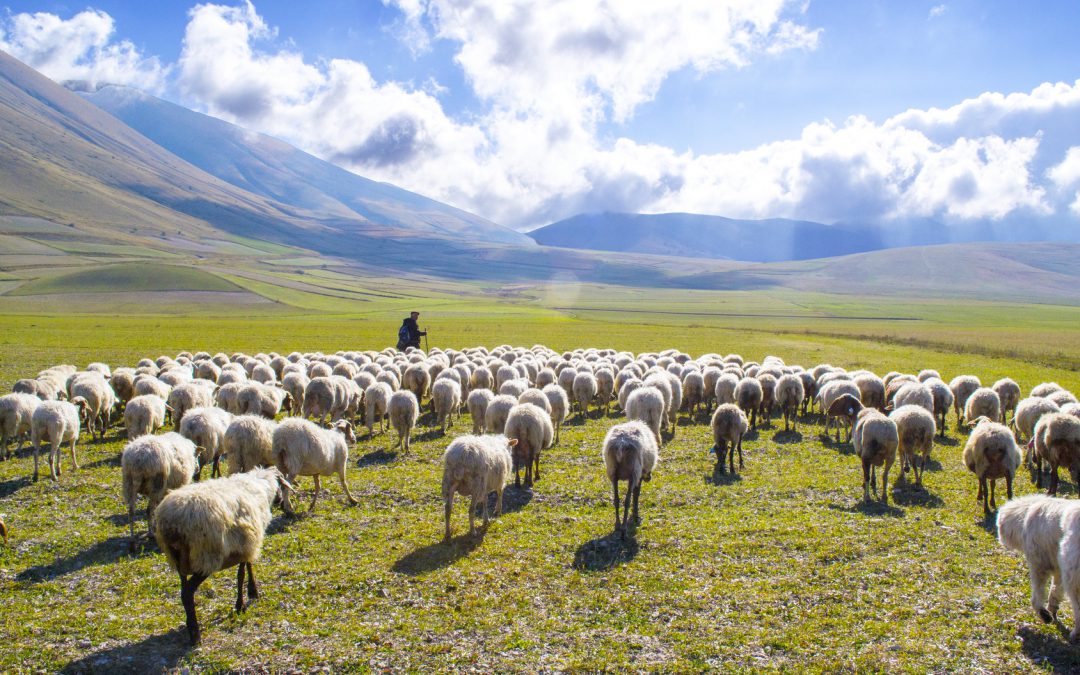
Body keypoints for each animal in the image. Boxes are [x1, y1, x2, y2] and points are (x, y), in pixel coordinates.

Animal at [153, 467, 290, 645]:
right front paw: (241, 604)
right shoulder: (248, 544)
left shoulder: (245, 543)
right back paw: (195, 634)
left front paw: (252, 592)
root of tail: (172, 524)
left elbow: (247, 567)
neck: (261, 486)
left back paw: (189, 624)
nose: (281, 502)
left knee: (183, 591)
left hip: (178, 559)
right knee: (188, 592)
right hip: (206, 556)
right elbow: (241, 574)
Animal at [996, 494, 1080, 637]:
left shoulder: (1039, 564)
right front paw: (1052, 609)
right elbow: (1055, 590)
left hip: (1072, 576)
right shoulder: (1058, 568)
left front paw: (1044, 614)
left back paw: (1076, 633)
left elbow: (1037, 593)